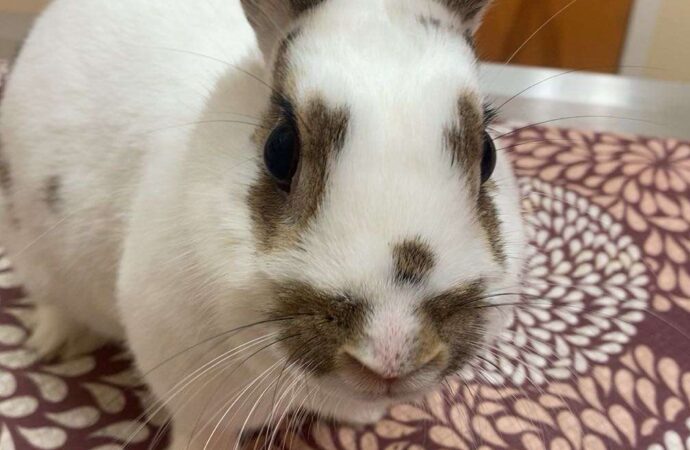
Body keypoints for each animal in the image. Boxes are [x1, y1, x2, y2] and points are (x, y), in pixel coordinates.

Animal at [0, 0, 525, 448]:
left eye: (488, 154)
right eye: (280, 148)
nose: (392, 351)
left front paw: (364, 416)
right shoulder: (192, 387)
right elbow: (200, 432)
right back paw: (55, 342)